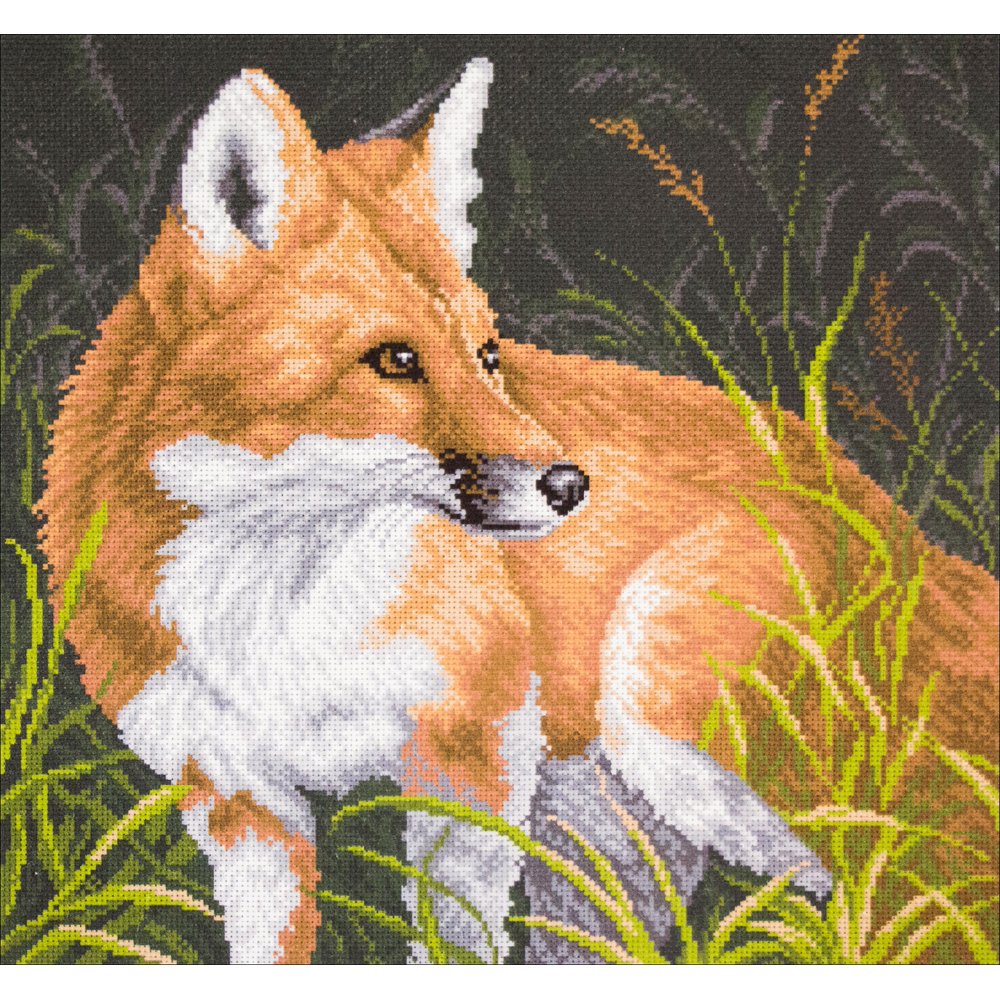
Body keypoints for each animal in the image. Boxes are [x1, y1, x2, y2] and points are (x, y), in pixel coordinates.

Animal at [37, 59, 998, 964]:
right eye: (394, 359)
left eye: (487, 353)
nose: (571, 485)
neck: (279, 614)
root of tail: (892, 519)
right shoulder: (239, 800)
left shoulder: (475, 743)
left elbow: (451, 936)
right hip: (606, 848)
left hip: (675, 725)